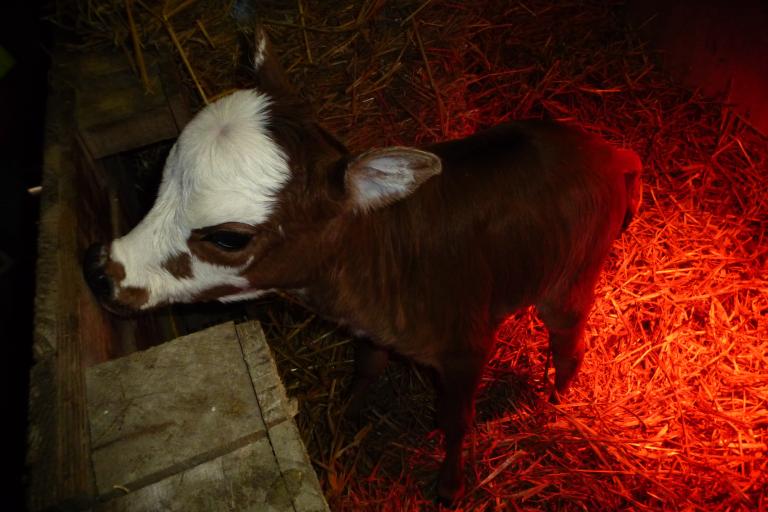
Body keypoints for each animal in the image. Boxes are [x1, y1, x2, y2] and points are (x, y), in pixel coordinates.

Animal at [82, 30, 640, 502]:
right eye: (160, 177)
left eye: (228, 237)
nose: (103, 270)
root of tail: (612, 152)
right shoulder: (371, 332)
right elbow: (368, 367)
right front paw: (346, 414)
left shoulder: (468, 346)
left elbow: (458, 419)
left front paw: (450, 486)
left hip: (568, 281)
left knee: (570, 341)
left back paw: (555, 400)